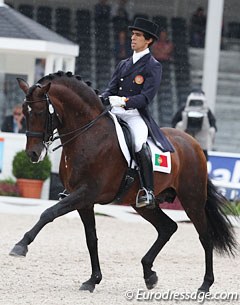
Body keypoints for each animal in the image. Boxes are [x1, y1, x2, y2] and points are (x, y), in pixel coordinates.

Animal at [9, 70, 236, 292]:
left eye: (40, 112)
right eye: (24, 112)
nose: (33, 154)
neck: (88, 135)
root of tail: (193, 143)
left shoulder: (85, 193)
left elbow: (49, 213)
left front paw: (21, 245)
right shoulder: (83, 201)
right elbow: (91, 239)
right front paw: (93, 280)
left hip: (192, 200)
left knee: (205, 236)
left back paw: (205, 284)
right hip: (142, 204)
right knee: (167, 228)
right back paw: (149, 274)